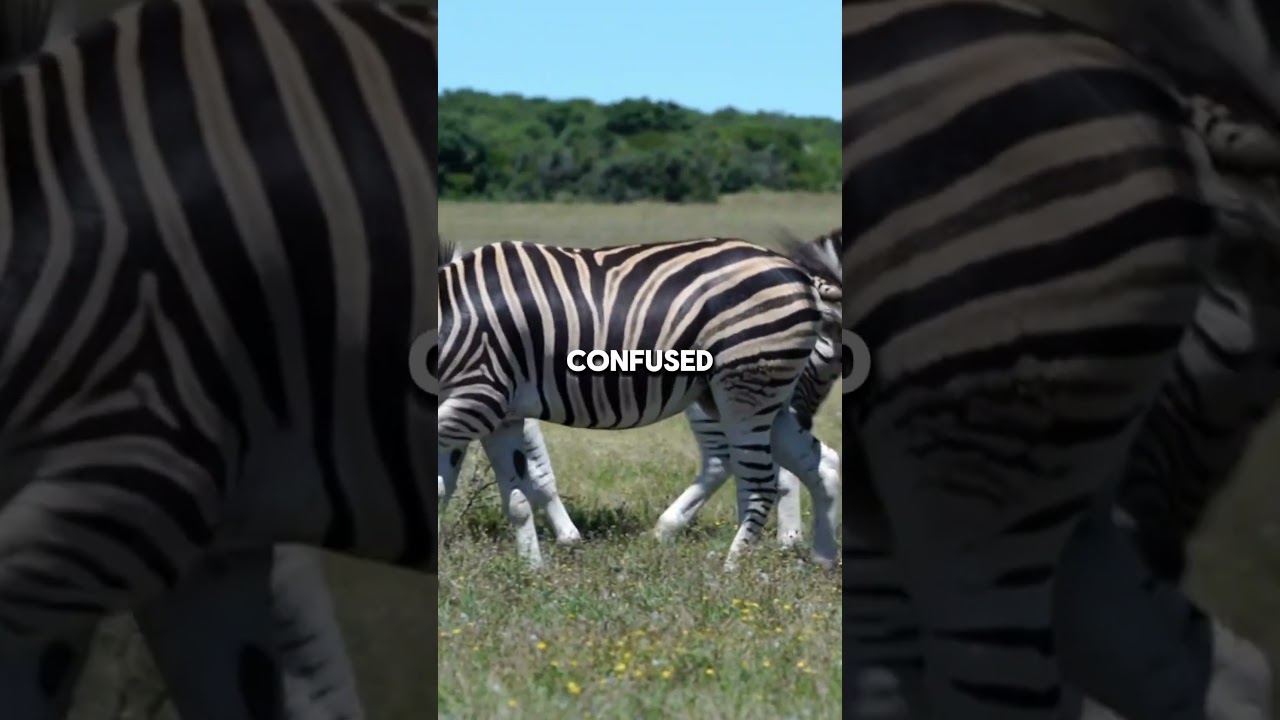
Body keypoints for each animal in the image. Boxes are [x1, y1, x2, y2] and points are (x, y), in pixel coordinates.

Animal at [436, 235, 843, 571]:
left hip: (744, 391)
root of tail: (802, 276)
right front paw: (532, 572)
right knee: (823, 466)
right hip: (761, 400)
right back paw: (824, 557)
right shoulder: (501, 417)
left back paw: (731, 569)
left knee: (758, 482)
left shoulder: (478, 399)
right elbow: (512, 499)